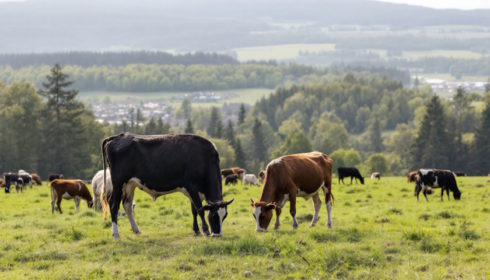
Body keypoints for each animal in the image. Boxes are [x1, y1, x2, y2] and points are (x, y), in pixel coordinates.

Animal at [100, 133, 234, 238]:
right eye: (214, 216)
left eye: (225, 216)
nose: (217, 234)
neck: (204, 157)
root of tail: (117, 137)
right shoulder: (192, 186)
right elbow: (200, 210)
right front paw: (205, 230)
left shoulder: (193, 191)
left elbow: (194, 210)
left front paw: (196, 230)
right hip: (118, 183)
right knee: (114, 205)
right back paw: (116, 234)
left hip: (130, 184)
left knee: (127, 205)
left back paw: (136, 230)